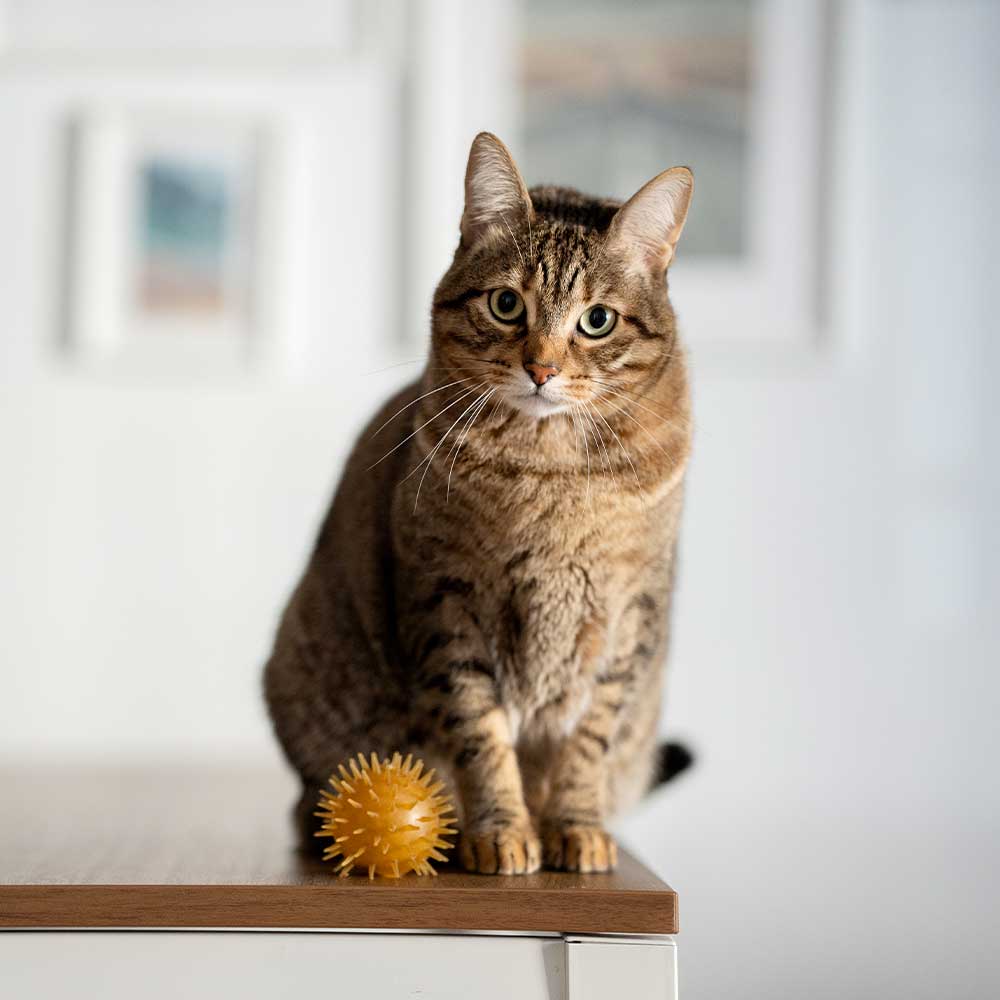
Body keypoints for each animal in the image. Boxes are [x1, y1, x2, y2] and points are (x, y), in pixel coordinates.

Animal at [262, 133, 692, 876]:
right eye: (506, 305)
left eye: (597, 321)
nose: (542, 368)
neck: (554, 475)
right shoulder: (445, 599)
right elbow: (480, 733)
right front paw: (500, 830)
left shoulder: (631, 614)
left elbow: (589, 742)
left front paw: (575, 827)